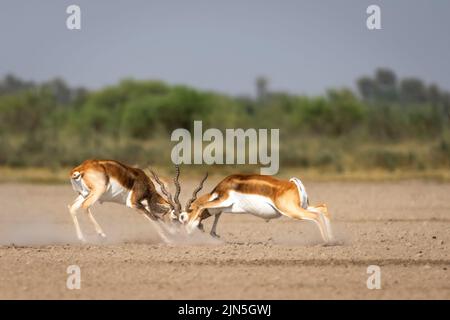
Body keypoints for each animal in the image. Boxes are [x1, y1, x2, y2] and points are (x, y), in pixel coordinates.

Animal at [180, 174, 334, 244]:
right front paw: (214, 234)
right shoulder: (224, 206)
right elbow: (217, 214)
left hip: (292, 211)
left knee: (316, 216)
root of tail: (292, 183)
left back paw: (327, 242)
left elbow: (202, 205)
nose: (185, 225)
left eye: (182, 216)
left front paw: (191, 229)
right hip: (302, 206)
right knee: (323, 208)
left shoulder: (224, 200)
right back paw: (333, 240)